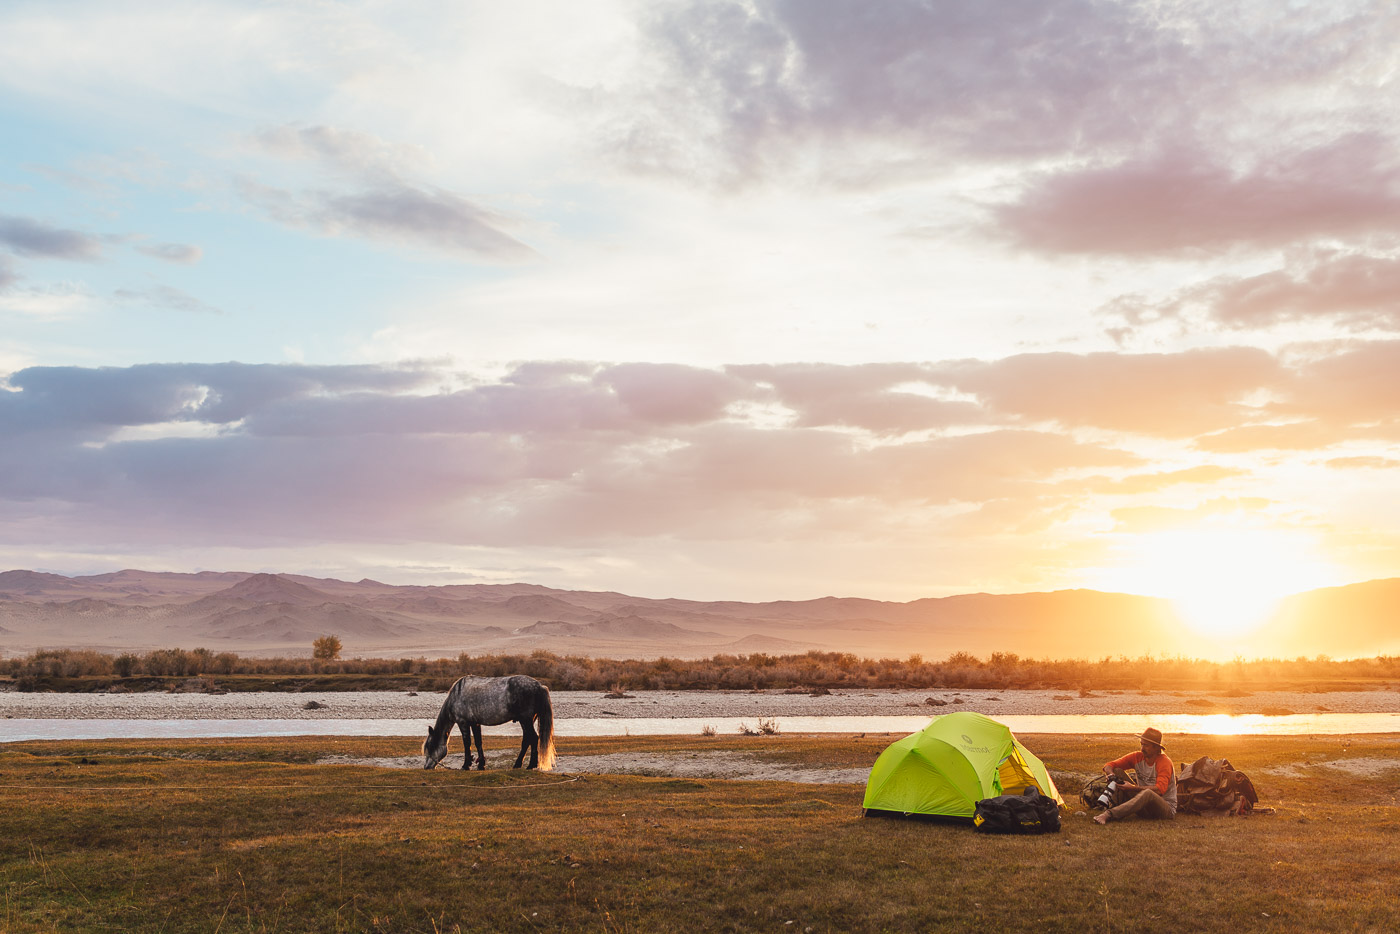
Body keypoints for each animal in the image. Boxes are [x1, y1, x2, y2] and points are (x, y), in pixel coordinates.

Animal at [422, 674, 554, 772]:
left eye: (430, 746)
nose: (426, 767)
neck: (457, 695)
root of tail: (539, 686)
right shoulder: (475, 723)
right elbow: (478, 742)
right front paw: (481, 765)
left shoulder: (463, 723)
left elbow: (467, 743)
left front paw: (466, 765)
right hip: (527, 721)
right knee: (527, 740)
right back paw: (517, 764)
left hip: (525, 720)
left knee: (533, 738)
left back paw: (531, 765)